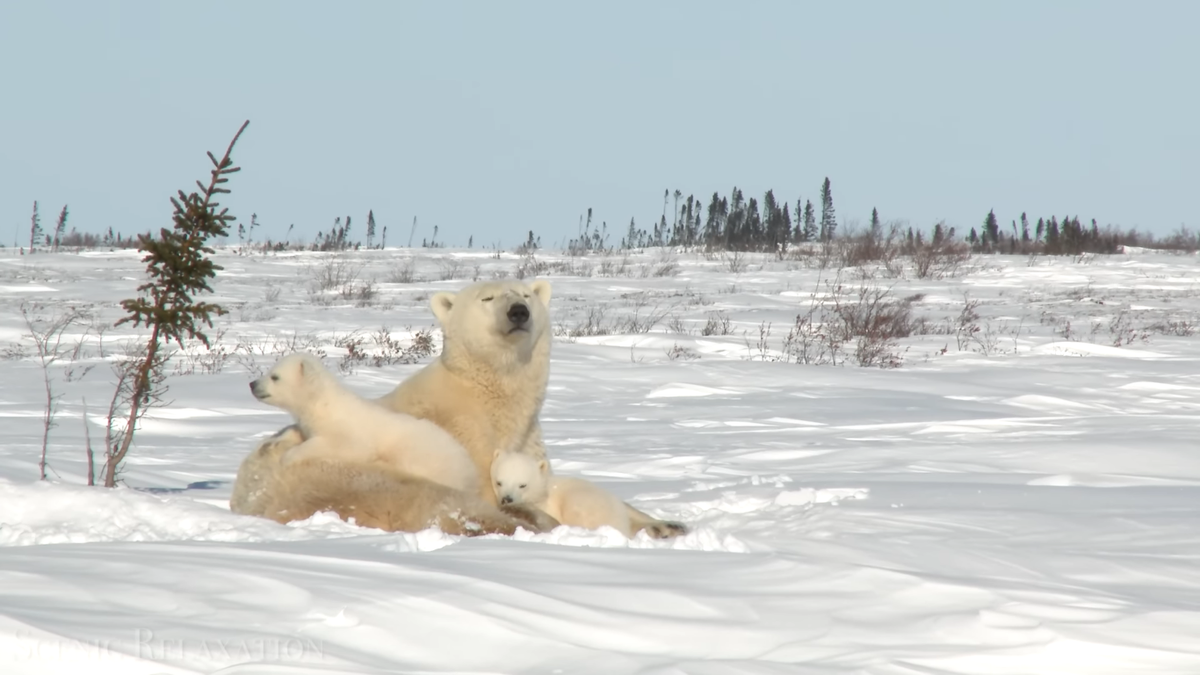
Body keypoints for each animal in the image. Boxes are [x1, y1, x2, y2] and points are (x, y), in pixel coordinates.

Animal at [230, 277, 691, 535]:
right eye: (487, 299)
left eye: (526, 294)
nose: (519, 311)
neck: (487, 400)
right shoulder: (463, 443)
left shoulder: (527, 439)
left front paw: (664, 523)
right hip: (347, 481)